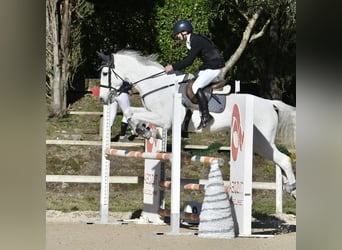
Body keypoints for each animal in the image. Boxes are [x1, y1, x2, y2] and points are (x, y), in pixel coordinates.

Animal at [97, 50, 296, 199]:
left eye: (105, 74)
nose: (102, 99)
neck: (157, 85)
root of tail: (271, 104)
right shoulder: (156, 116)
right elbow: (132, 113)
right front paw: (146, 131)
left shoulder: (164, 118)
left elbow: (130, 113)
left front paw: (142, 130)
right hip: (261, 142)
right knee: (280, 160)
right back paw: (289, 187)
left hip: (260, 142)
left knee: (283, 160)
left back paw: (293, 188)